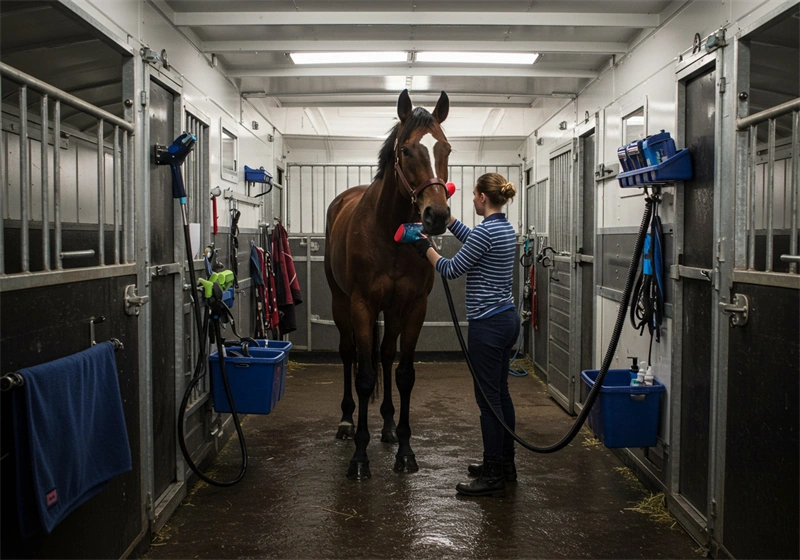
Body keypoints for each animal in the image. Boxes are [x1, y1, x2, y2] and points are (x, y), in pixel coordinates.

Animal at [324, 89, 452, 480]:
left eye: (446, 149)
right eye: (406, 150)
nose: (437, 216)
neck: (389, 235)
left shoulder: (413, 308)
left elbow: (404, 373)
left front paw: (406, 452)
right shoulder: (362, 305)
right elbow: (365, 376)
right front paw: (360, 458)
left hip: (391, 313)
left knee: (384, 355)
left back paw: (390, 427)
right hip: (341, 303)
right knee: (349, 354)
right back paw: (347, 422)